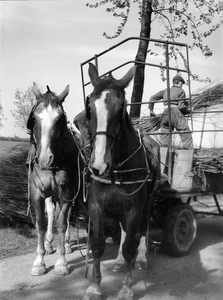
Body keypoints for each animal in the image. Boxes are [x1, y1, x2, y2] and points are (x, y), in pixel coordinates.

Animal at [27, 84, 81, 276]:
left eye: (59, 119)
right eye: (35, 117)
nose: (44, 159)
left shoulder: (67, 191)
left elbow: (62, 223)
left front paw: (61, 262)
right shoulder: (37, 192)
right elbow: (41, 224)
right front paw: (39, 261)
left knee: (67, 215)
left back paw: (66, 243)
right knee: (51, 211)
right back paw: (50, 243)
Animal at [84, 63, 160, 300]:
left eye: (121, 108)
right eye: (90, 108)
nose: (99, 165)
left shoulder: (135, 206)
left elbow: (129, 247)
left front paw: (126, 288)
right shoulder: (96, 205)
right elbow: (98, 245)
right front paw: (94, 286)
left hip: (147, 202)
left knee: (143, 228)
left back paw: (142, 257)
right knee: (125, 229)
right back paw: (118, 261)